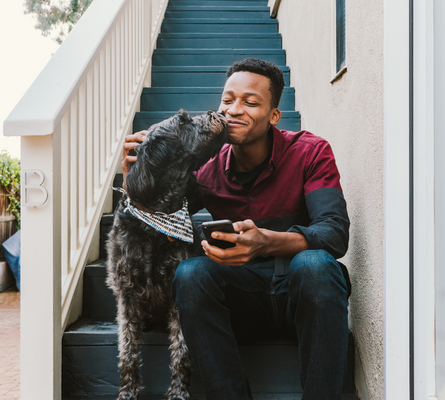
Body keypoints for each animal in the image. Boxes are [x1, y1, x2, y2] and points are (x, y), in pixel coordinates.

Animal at [106, 110, 227, 400]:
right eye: (183, 120)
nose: (217, 112)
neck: (157, 220)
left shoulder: (177, 295)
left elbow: (181, 351)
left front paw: (178, 392)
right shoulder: (126, 293)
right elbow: (127, 350)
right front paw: (127, 391)